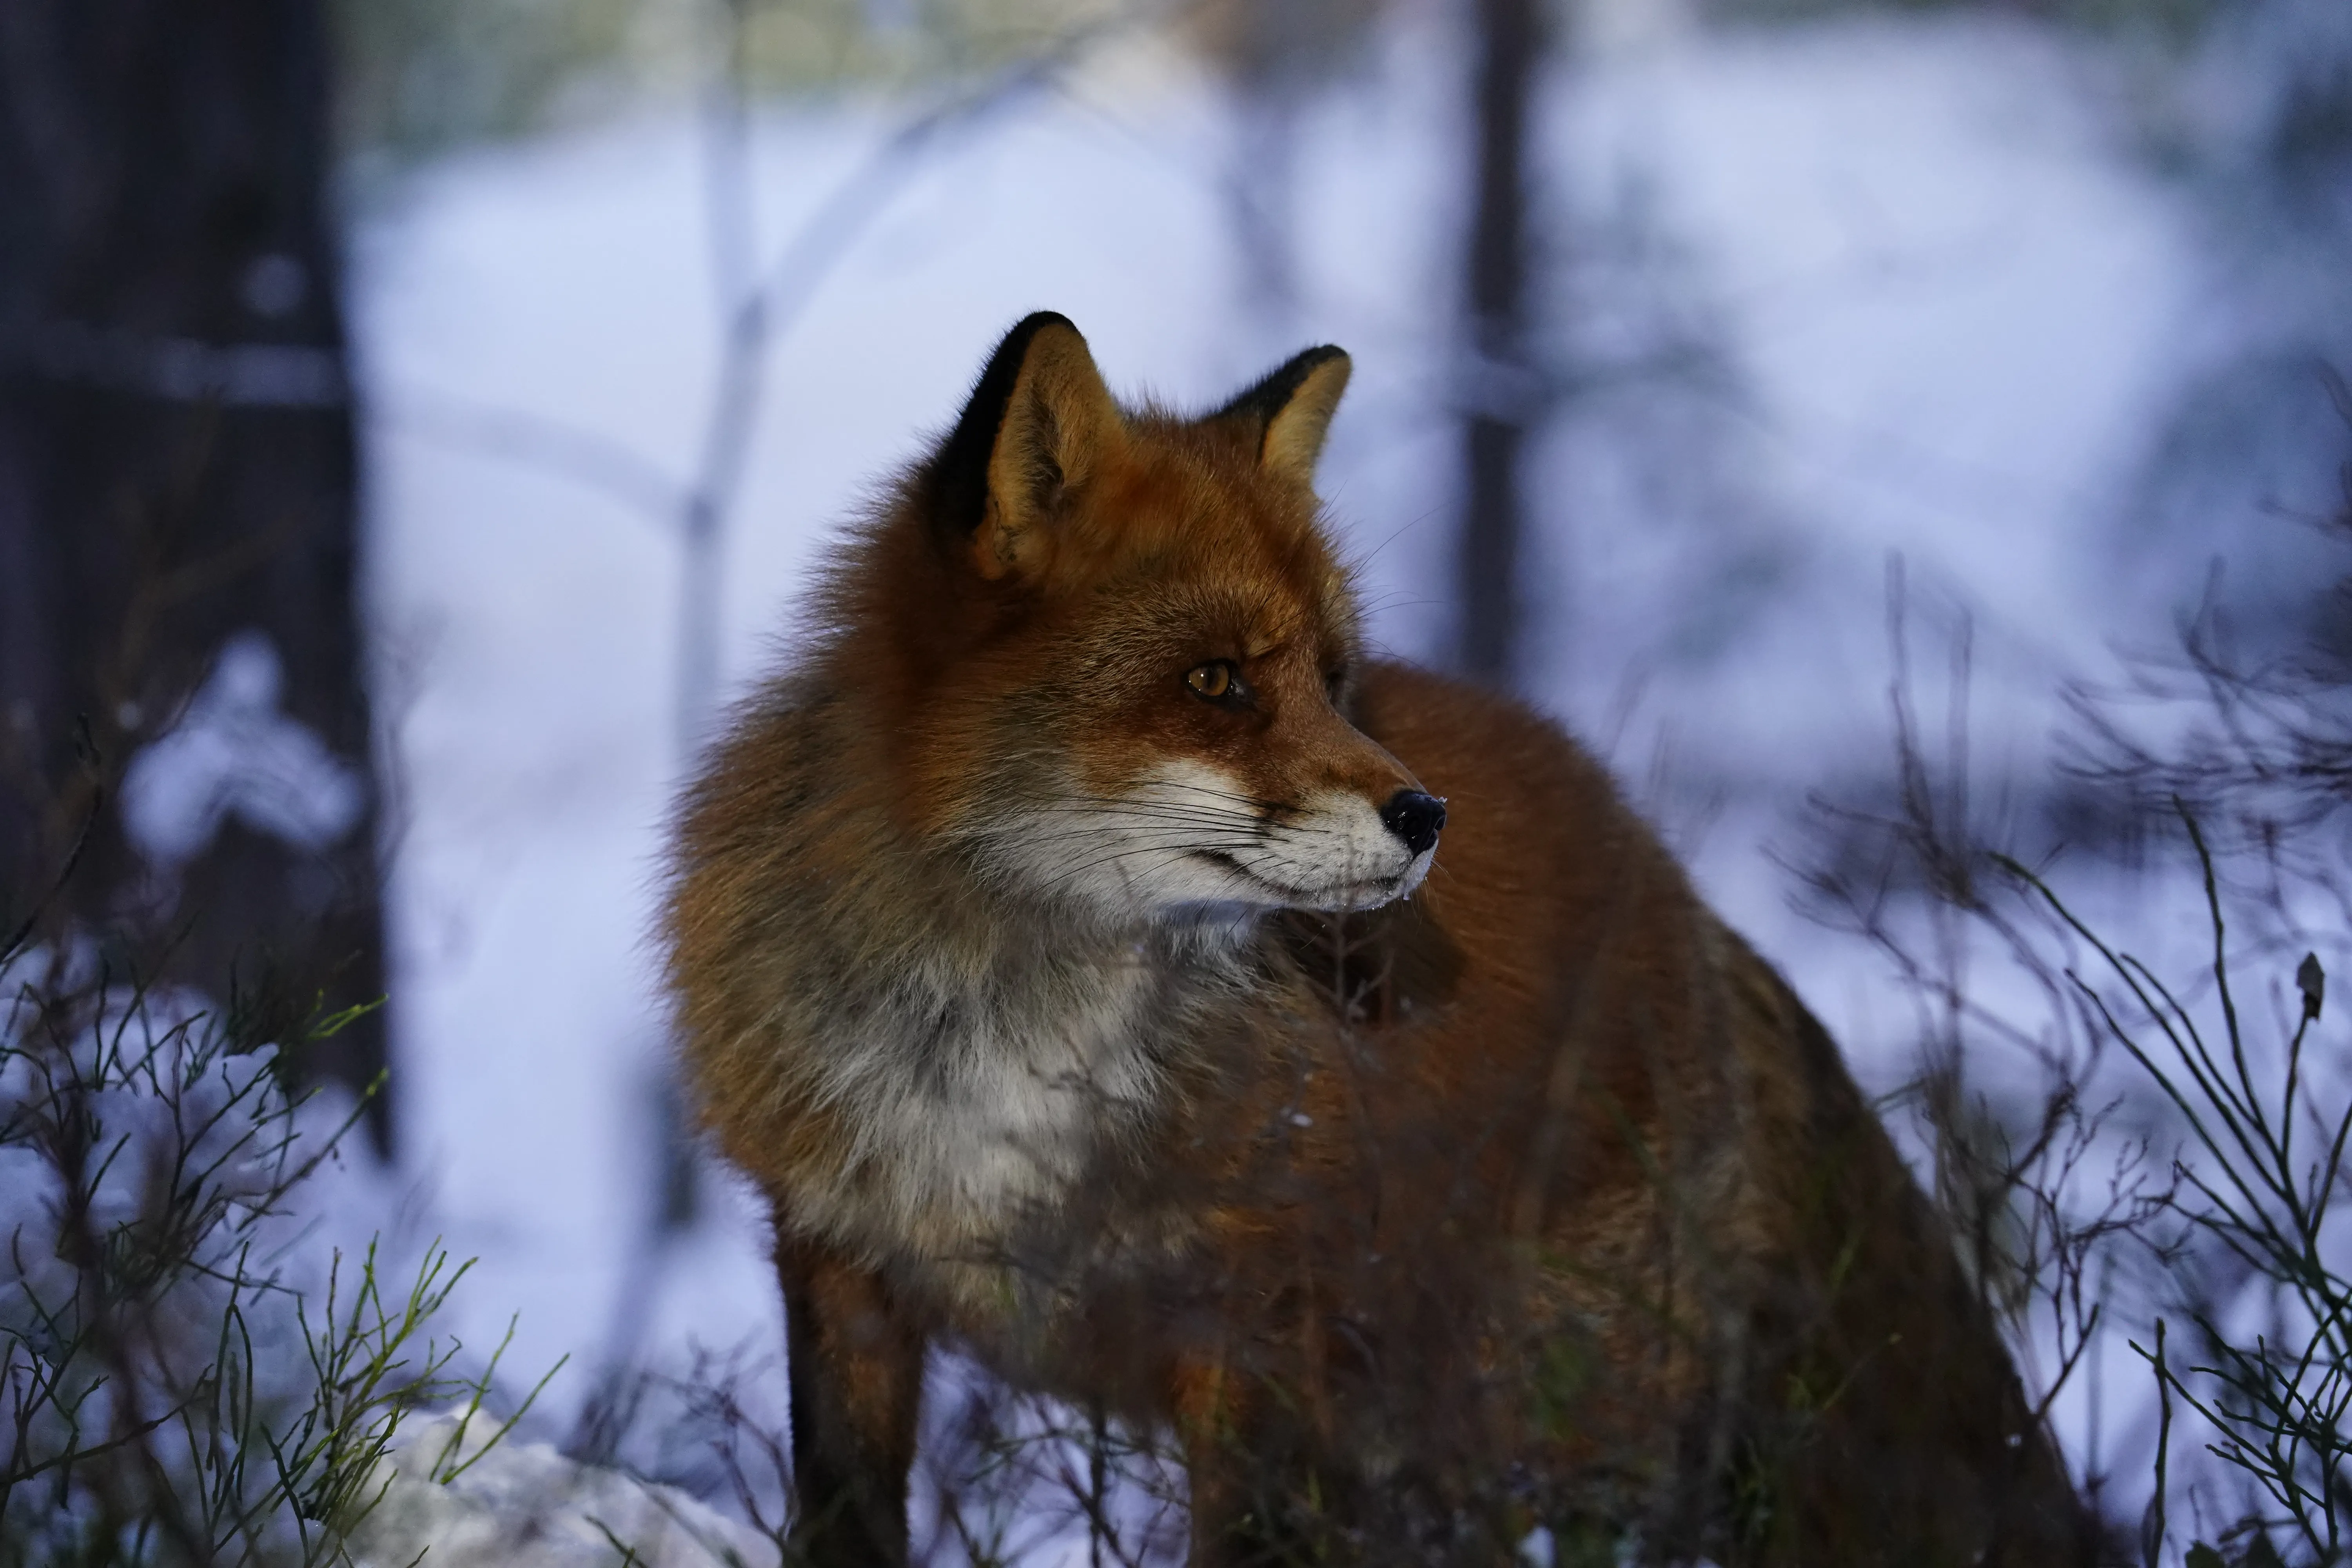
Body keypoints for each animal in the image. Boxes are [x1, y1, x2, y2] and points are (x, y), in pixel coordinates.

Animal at [661, 313, 2107, 1566]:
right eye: (1217, 682)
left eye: (1335, 678)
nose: (1426, 818)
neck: (1004, 1046)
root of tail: (1685, 898)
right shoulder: (840, 1263)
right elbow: (843, 1522)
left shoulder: (1261, 1339)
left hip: (1563, 1413)